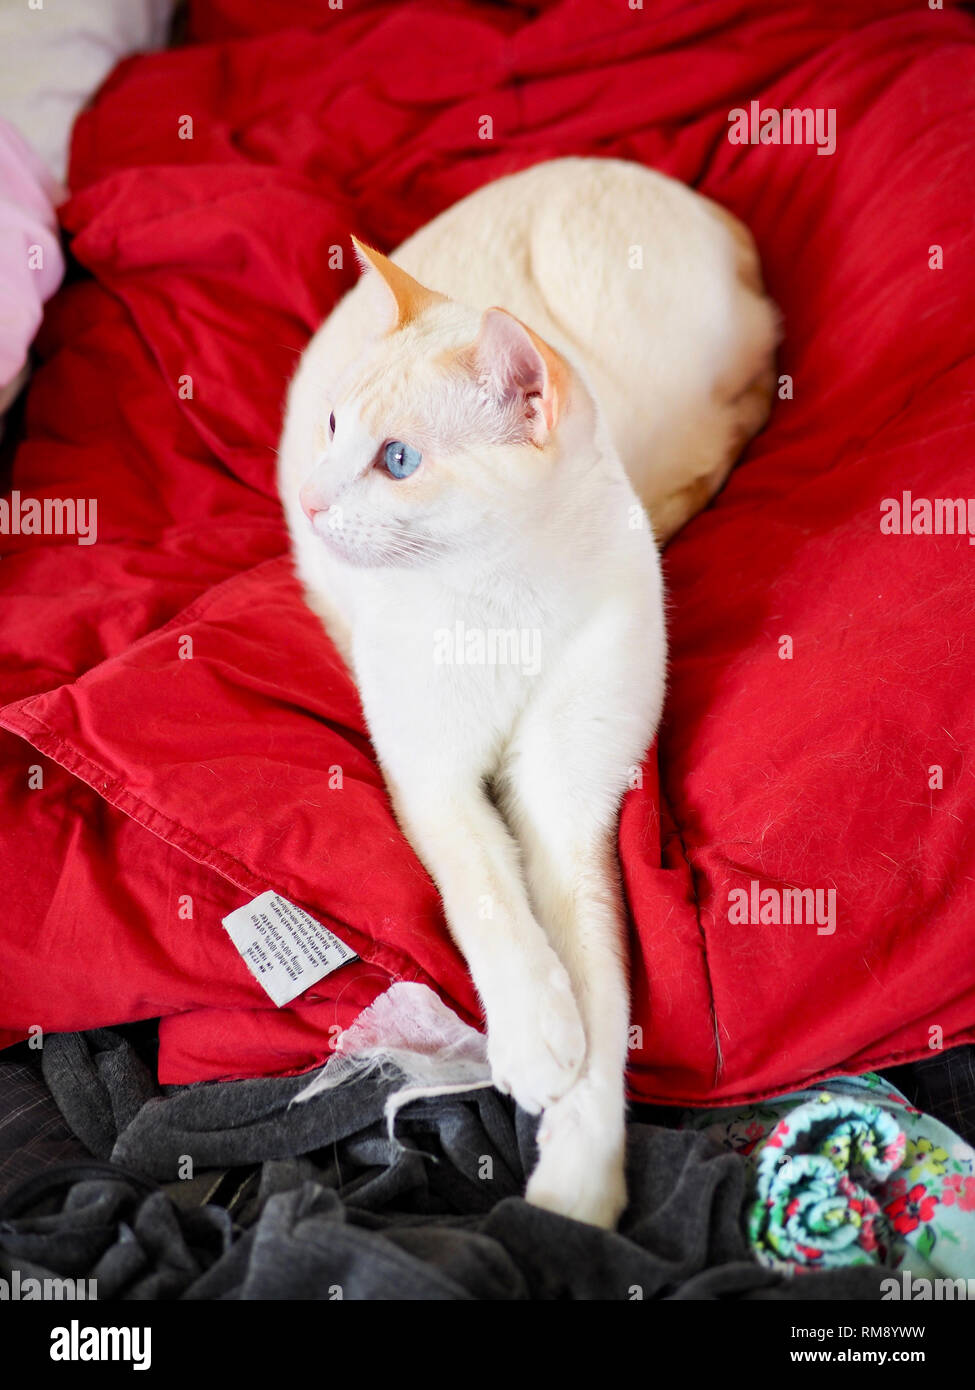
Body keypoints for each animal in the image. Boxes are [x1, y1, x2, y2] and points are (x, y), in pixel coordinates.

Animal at [275, 154, 773, 1228]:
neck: (506, 600)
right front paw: (537, 1035)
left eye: (398, 461)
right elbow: (488, 901)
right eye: (333, 428)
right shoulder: (432, 780)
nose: (311, 500)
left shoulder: (568, 813)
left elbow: (604, 998)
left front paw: (573, 1201)